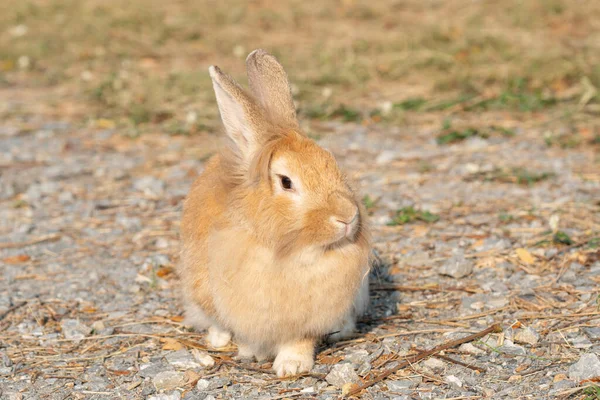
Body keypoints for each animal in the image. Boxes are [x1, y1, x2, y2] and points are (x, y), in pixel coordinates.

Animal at [177, 49, 370, 376]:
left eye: (333, 164)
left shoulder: (308, 319)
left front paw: (292, 366)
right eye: (286, 182)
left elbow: (299, 340)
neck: (295, 253)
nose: (347, 217)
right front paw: (252, 353)